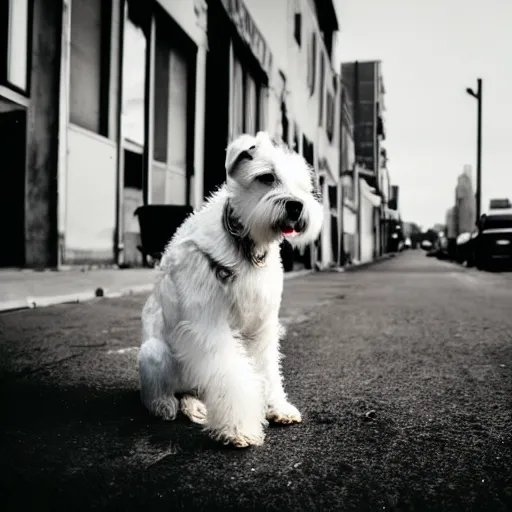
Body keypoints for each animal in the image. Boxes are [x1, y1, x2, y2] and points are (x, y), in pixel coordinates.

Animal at [138, 132, 322, 448]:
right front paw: (238, 429)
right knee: (159, 393)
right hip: (153, 352)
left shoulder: (262, 327)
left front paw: (277, 407)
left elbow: (267, 370)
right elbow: (231, 376)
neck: (246, 245)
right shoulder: (210, 326)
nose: (296, 206)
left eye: (302, 185)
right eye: (266, 177)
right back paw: (165, 405)